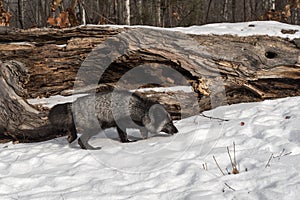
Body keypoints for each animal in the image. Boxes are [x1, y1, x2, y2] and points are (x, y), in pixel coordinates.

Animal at [48, 90, 177, 149]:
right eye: (169, 123)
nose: (177, 131)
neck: (140, 110)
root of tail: (72, 105)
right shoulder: (122, 122)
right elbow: (125, 136)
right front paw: (129, 142)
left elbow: (142, 133)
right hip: (95, 127)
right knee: (80, 140)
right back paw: (90, 148)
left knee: (74, 135)